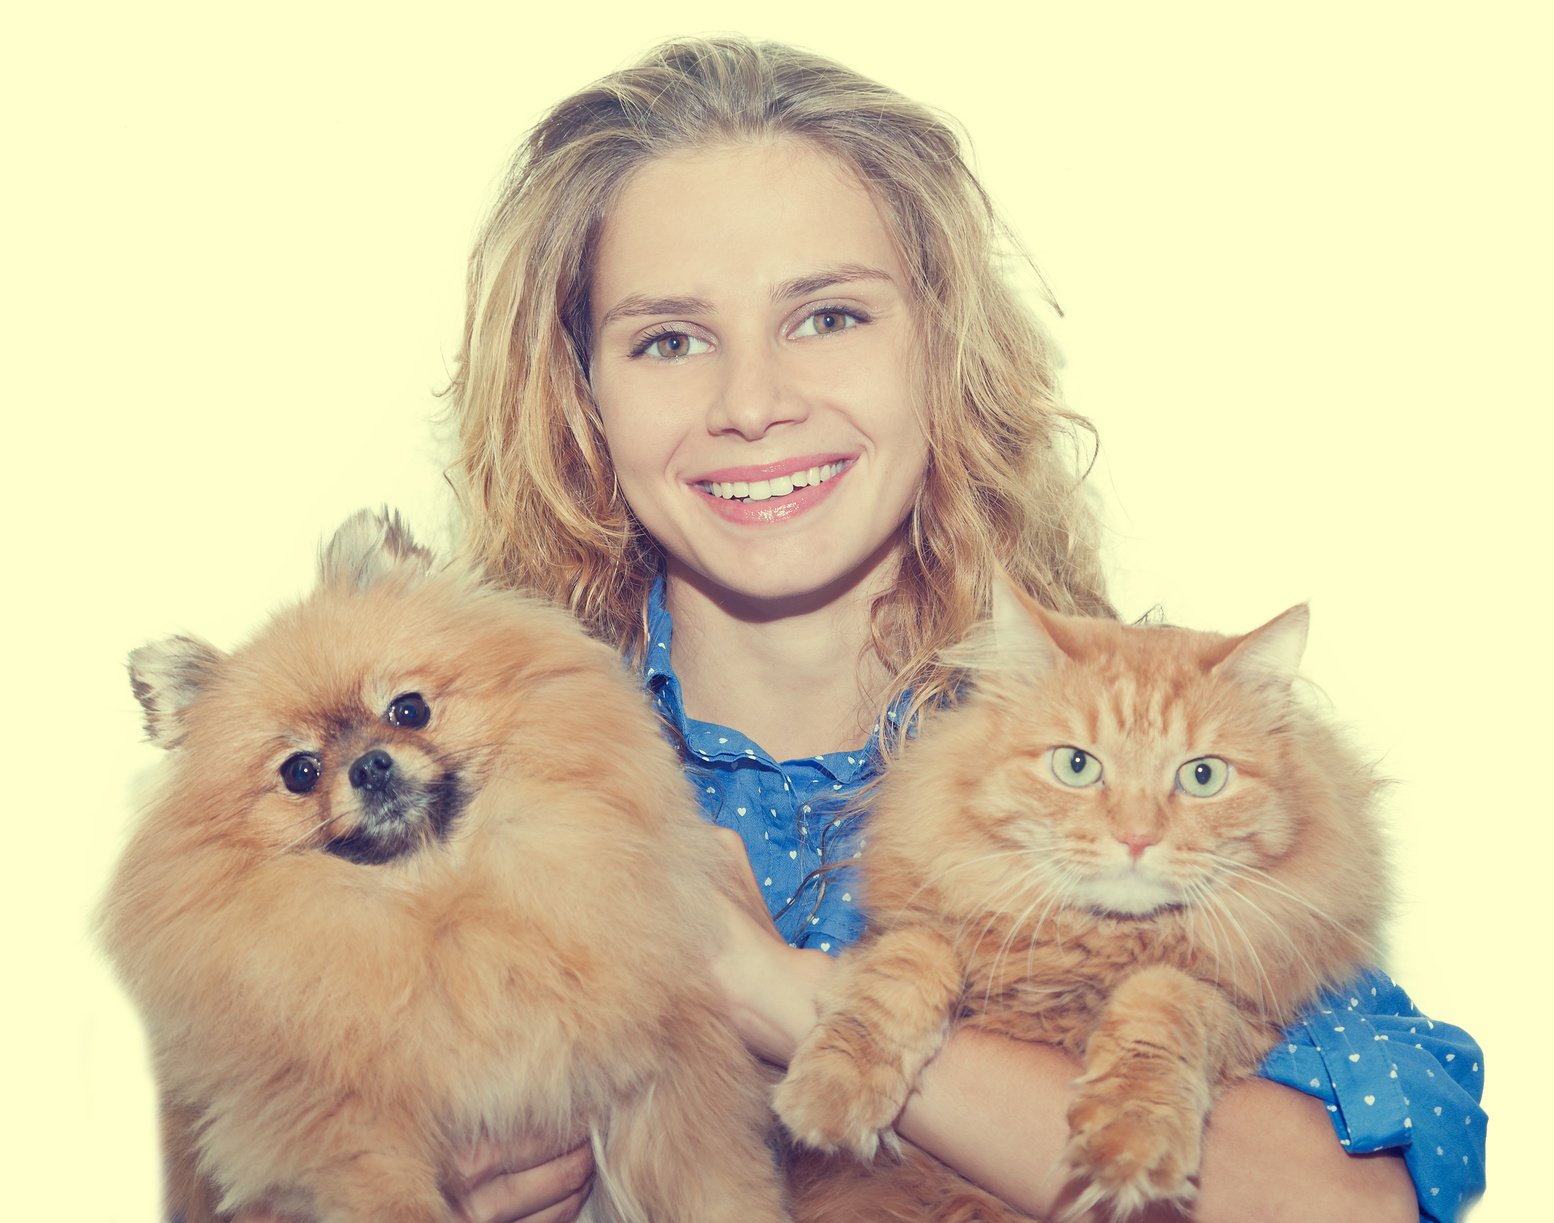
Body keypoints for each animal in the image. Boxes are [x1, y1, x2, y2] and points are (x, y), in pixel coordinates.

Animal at [100, 512, 789, 1223]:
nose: (370, 766)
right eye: (300, 772)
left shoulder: (668, 1073)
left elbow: (715, 1185)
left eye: (409, 710)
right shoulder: (348, 1137)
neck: (439, 897)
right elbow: (389, 1199)